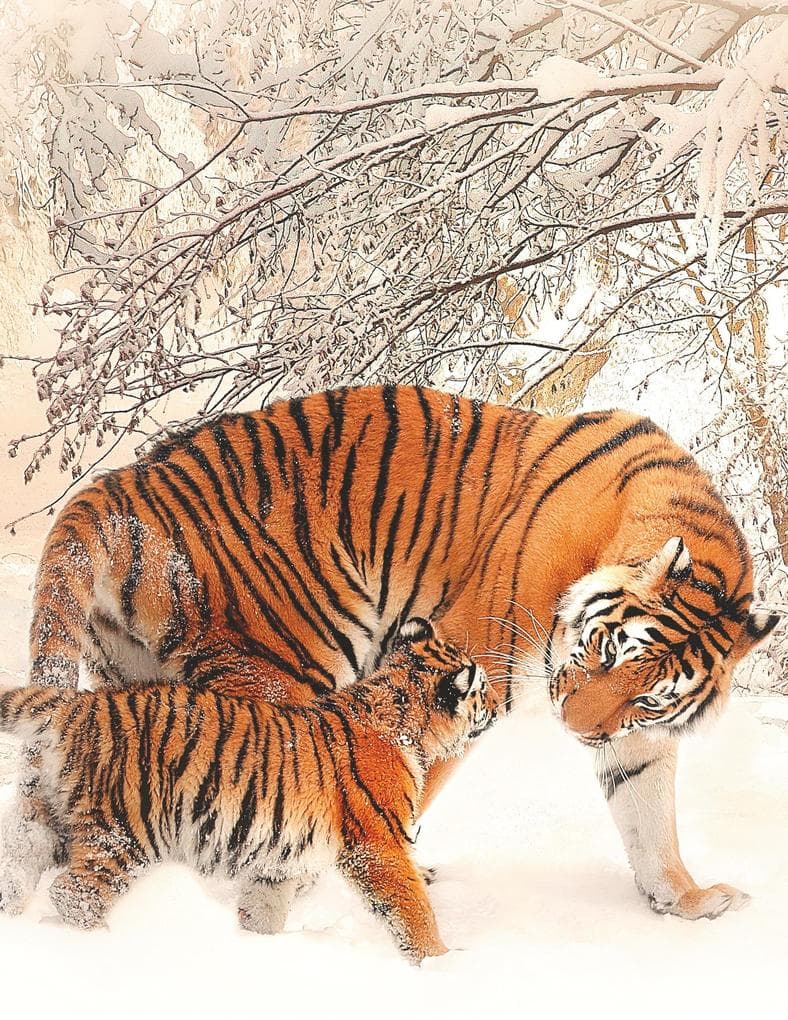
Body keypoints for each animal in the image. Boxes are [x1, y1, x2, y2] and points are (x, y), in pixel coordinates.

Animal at [0, 385, 778, 922]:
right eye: (605, 652)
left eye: (647, 694)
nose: (577, 729)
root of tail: (114, 487)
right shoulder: (470, 664)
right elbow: (405, 781)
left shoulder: (636, 735)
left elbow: (649, 815)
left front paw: (685, 900)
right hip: (280, 666)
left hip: (130, 683)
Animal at [0, 618, 495, 961]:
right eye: (482, 689)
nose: (495, 706)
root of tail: (80, 703)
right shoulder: (379, 845)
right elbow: (412, 911)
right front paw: (442, 965)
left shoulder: (280, 857)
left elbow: (265, 908)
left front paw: (256, 948)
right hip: (123, 831)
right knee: (74, 893)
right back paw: (104, 940)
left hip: (54, 819)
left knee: (21, 864)